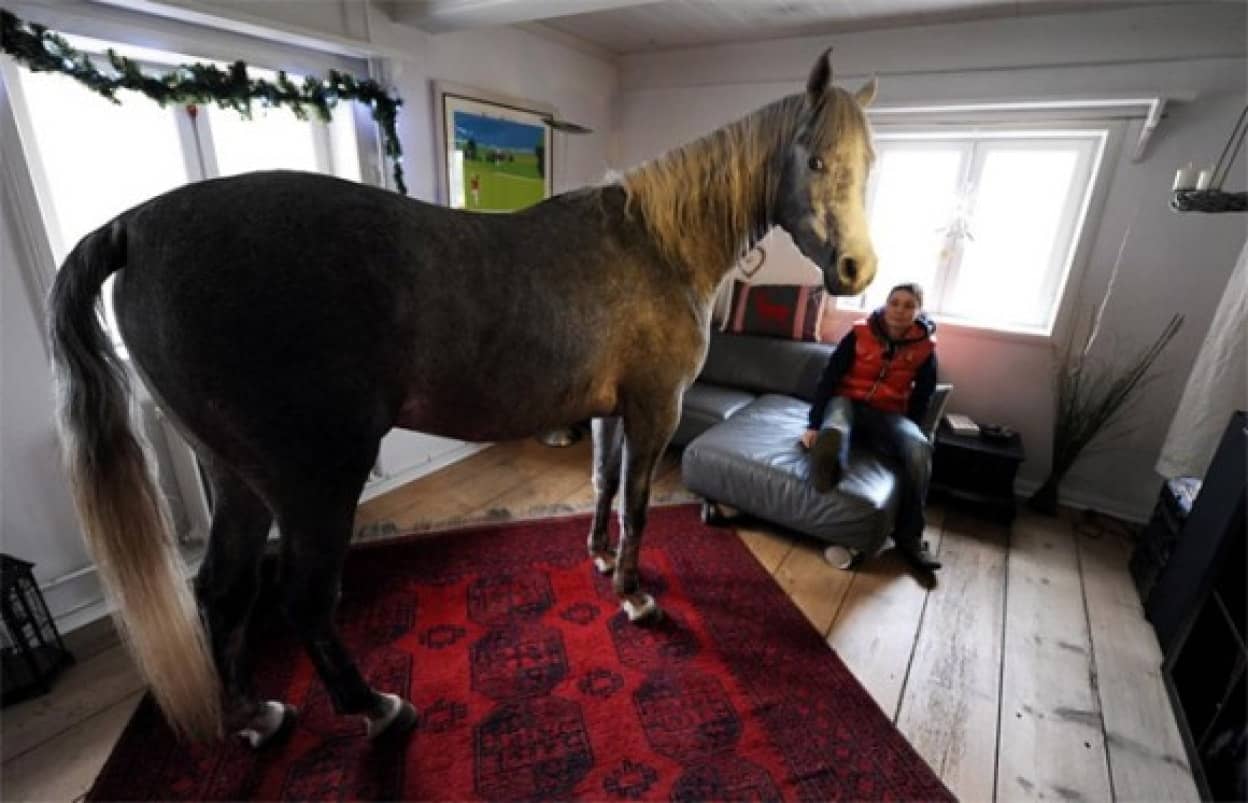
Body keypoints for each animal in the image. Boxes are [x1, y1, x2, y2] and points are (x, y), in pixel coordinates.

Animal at [48, 50, 879, 747]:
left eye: (868, 163)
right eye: (814, 158)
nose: (856, 269)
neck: (658, 245)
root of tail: (136, 228)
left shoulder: (611, 411)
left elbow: (602, 485)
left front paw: (599, 557)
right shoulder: (655, 410)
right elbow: (639, 503)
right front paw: (635, 595)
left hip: (236, 477)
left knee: (222, 594)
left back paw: (255, 715)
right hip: (315, 479)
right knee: (303, 600)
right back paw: (379, 708)